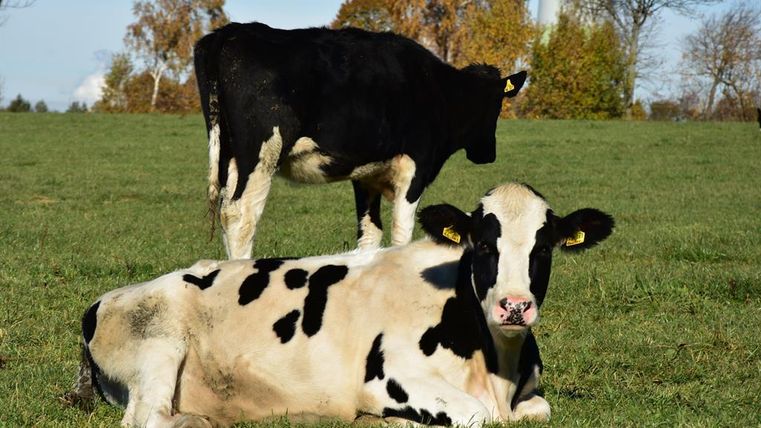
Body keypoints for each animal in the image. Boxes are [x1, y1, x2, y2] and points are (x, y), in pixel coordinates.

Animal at [69, 182, 613, 427]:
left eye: (544, 249)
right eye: (482, 245)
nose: (514, 307)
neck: (495, 364)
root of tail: (103, 300)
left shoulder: (528, 397)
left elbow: (538, 409)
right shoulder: (390, 376)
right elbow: (478, 416)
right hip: (157, 345)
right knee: (149, 417)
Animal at [193, 22, 527, 259]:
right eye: (497, 106)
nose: (488, 154)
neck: (439, 91)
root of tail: (232, 31)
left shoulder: (366, 176)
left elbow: (370, 235)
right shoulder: (415, 167)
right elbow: (401, 232)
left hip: (229, 155)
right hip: (261, 154)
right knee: (240, 217)